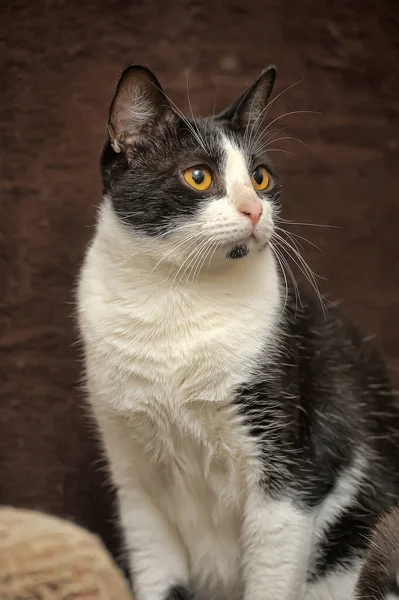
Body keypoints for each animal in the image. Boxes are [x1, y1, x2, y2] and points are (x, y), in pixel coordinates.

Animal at [77, 64, 399, 600]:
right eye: (198, 176)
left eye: (260, 176)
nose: (255, 209)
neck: (175, 298)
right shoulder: (136, 481)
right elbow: (155, 571)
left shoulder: (291, 470)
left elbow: (271, 573)